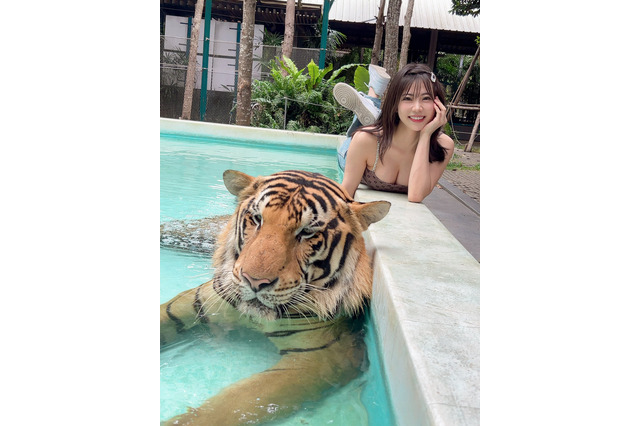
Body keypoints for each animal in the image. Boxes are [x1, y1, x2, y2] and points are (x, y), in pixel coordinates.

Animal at [160, 169, 390, 425]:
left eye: (307, 232)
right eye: (257, 219)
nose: (254, 281)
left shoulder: (319, 358)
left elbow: (232, 403)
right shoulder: (192, 303)